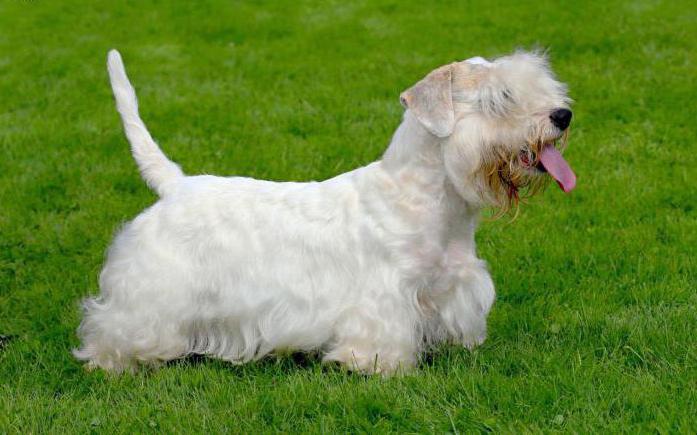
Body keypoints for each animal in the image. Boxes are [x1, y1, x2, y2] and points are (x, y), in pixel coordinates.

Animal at [73, 48, 572, 374]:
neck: (431, 201)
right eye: (500, 98)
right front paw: (379, 367)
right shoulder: (385, 298)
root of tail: (175, 185)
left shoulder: (449, 286)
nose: (563, 115)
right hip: (151, 296)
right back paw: (112, 361)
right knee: (114, 325)